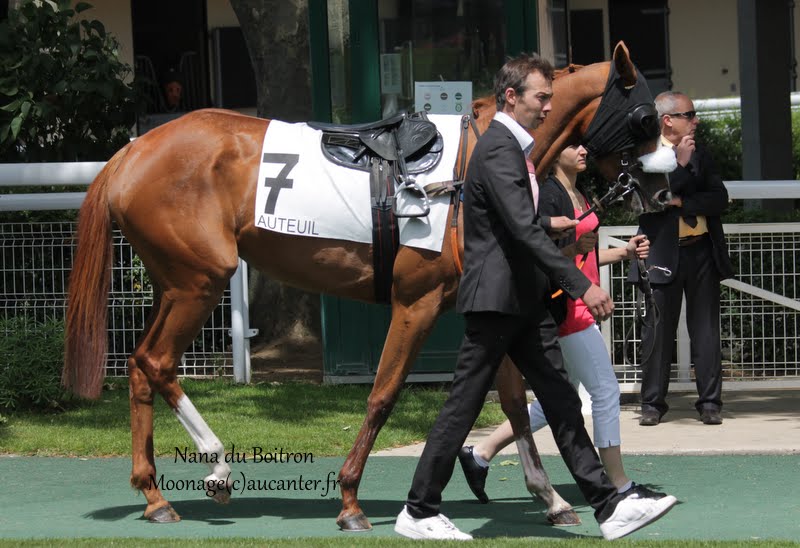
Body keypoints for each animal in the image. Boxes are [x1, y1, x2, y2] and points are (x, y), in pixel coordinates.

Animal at [62, 42, 664, 532]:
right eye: (646, 117)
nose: (661, 193)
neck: (470, 168)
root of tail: (131, 151)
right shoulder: (416, 303)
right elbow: (383, 394)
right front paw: (351, 500)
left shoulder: (490, 307)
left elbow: (516, 402)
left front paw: (552, 499)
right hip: (200, 282)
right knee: (157, 362)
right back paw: (217, 466)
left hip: (172, 286)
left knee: (139, 364)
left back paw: (154, 495)